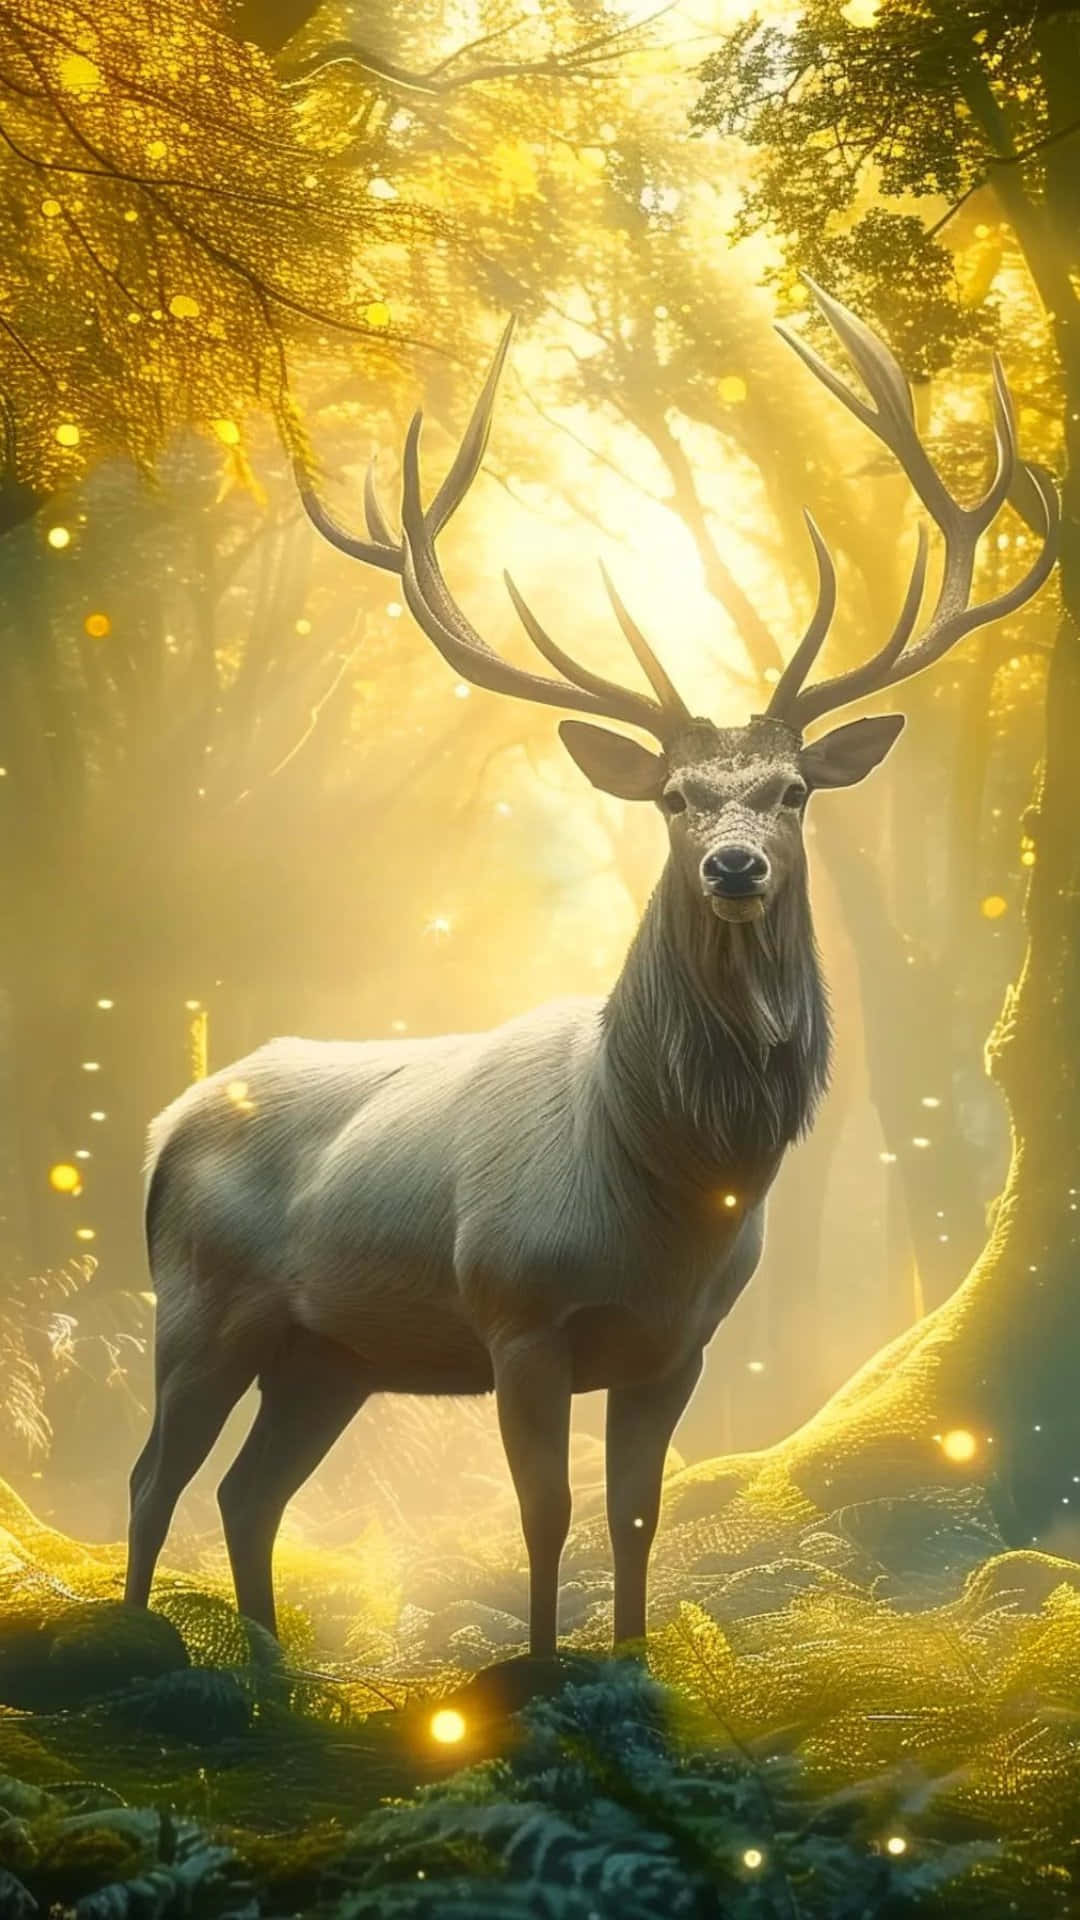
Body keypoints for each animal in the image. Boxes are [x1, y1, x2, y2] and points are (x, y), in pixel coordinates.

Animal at [124, 285, 1058, 1656]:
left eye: (793, 791)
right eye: (673, 796)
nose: (735, 865)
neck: (662, 1189)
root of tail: (165, 1126)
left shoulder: (681, 1346)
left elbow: (636, 1517)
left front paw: (627, 1660)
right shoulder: (518, 1313)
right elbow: (545, 1513)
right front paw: (541, 1670)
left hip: (330, 1351)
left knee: (251, 1490)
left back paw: (268, 1670)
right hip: (200, 1300)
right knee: (156, 1476)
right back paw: (144, 1645)